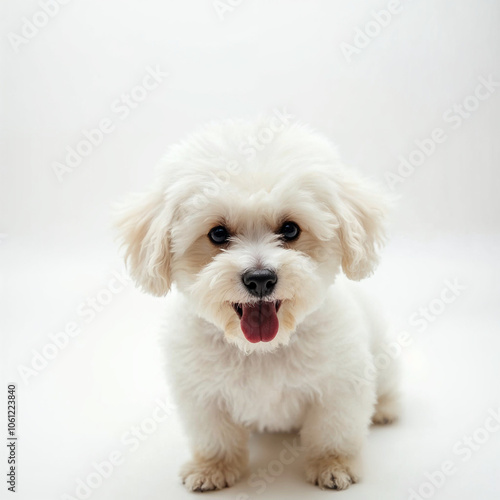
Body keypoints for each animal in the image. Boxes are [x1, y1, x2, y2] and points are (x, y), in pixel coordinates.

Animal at [115, 117, 400, 492]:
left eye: (290, 229)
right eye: (218, 234)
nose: (260, 278)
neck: (262, 350)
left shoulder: (340, 385)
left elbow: (333, 431)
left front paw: (333, 464)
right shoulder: (202, 395)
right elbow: (215, 436)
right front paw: (212, 468)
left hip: (384, 355)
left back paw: (385, 408)